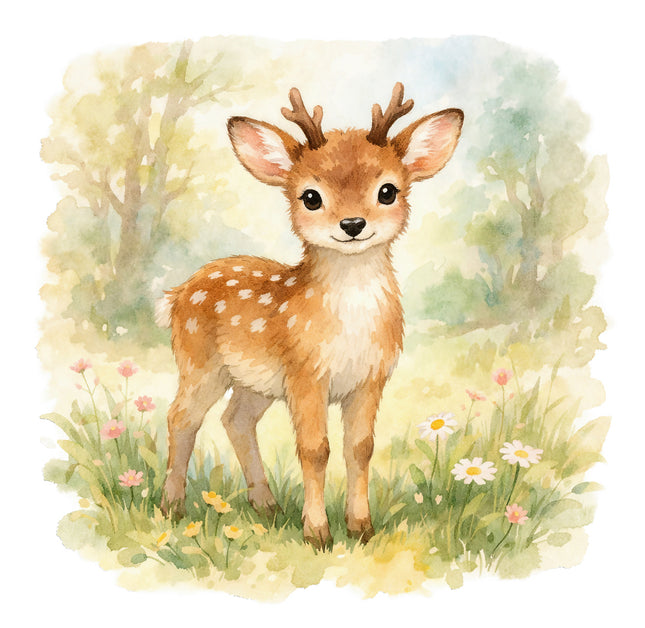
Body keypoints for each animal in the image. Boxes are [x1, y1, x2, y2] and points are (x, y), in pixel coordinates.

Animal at [158, 83, 463, 548]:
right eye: (311, 197)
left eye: (387, 191)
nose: (352, 224)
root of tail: (176, 295)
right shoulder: (305, 372)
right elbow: (315, 449)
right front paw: (317, 534)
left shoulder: (370, 378)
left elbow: (360, 447)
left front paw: (361, 528)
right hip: (199, 361)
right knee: (181, 418)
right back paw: (172, 507)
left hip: (254, 383)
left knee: (235, 420)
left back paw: (266, 505)